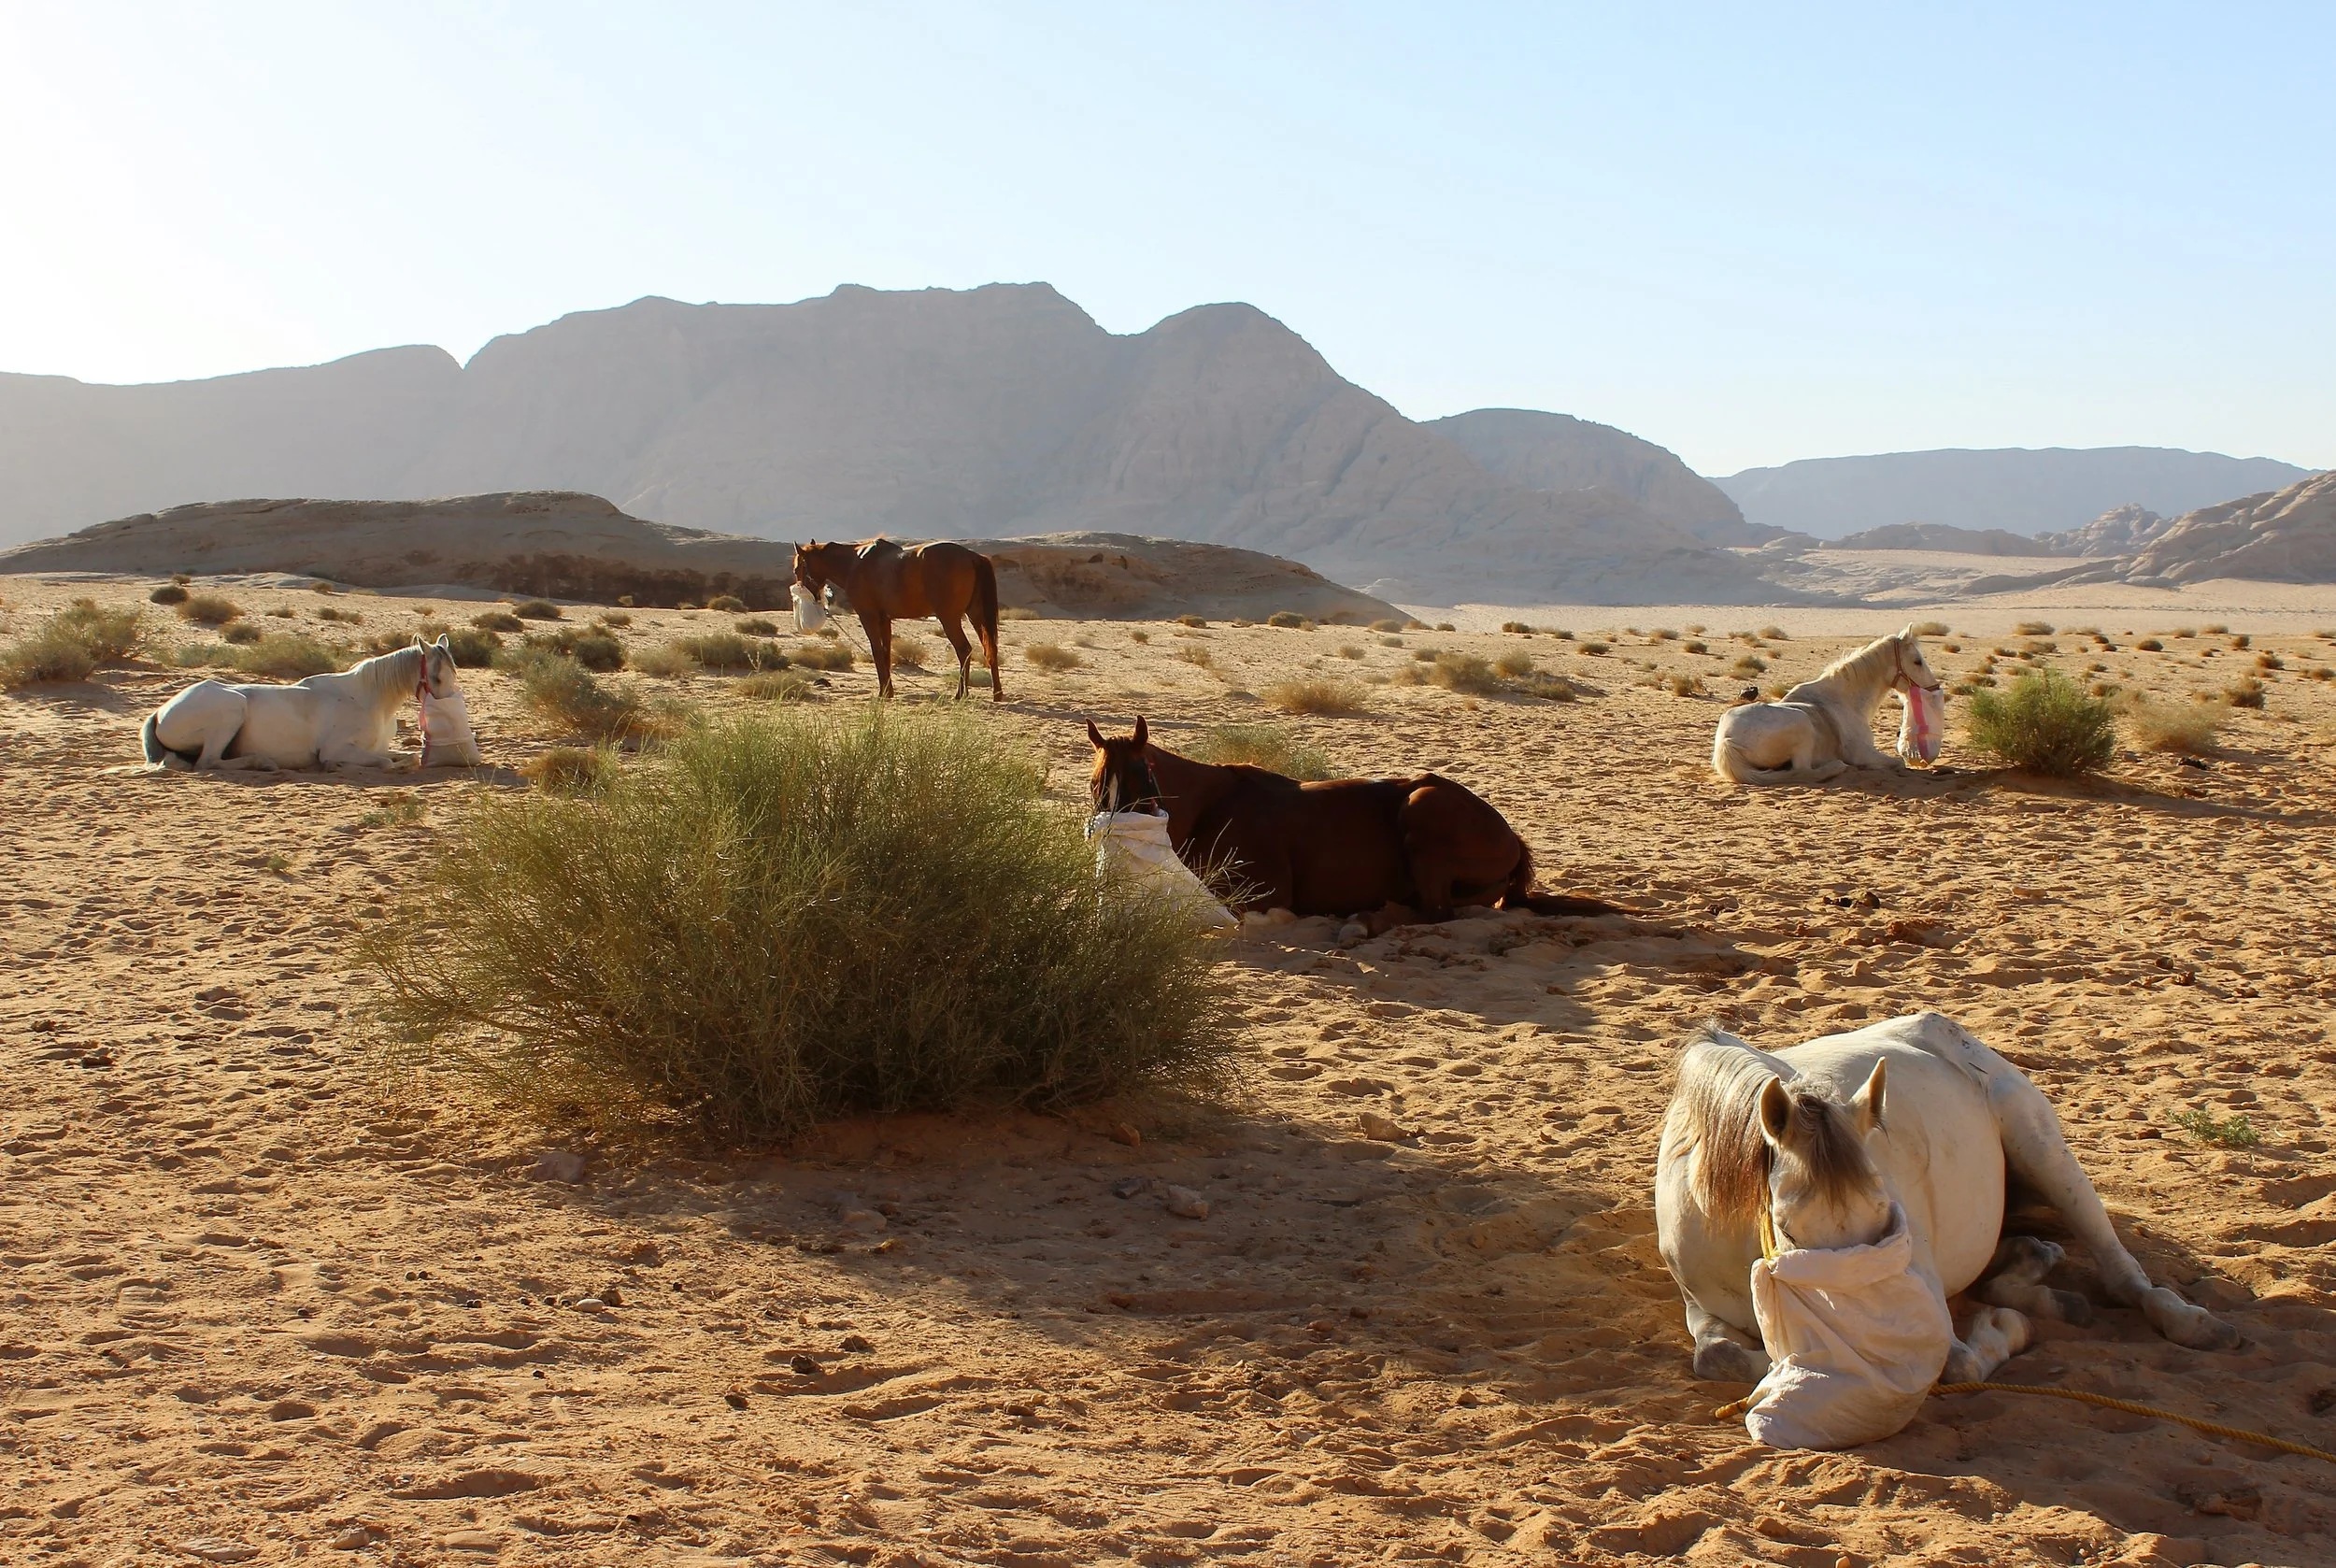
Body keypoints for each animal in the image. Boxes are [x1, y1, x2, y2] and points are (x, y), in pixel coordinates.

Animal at [140, 637, 459, 772]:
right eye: (436, 677)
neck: (368, 699)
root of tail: (159, 712)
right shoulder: (338, 748)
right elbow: (385, 763)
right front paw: (333, 765)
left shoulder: (379, 748)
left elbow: (408, 757)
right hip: (233, 707)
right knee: (208, 762)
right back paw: (262, 762)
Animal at [792, 538, 1003, 702]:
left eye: (797, 569)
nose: (813, 597)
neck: (855, 563)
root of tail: (972, 557)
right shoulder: (884, 619)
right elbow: (886, 653)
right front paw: (889, 691)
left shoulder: (868, 617)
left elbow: (877, 652)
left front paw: (883, 692)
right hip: (976, 616)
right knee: (990, 649)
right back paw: (996, 694)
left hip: (949, 618)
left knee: (964, 650)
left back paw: (960, 694)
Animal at [1084, 717, 1615, 921]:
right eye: (1094, 784)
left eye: (1143, 780)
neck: (1213, 804)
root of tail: (1512, 838)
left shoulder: (1266, 894)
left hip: (1424, 806)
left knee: (1435, 911)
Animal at [1656, 1011, 2239, 1395]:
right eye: (1788, 1231)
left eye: (1888, 1220)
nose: (1882, 1348)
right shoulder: (1699, 1306)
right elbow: (1718, 1356)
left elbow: (1954, 1365)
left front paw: (2005, 1329)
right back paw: (2042, 1275)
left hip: (2042, 1148)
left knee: (2120, 1273)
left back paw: (2191, 1323)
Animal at [1712, 627, 1942, 785]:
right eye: (1917, 661)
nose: (1934, 688)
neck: (1845, 700)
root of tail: (1726, 739)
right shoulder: (1863, 753)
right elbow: (1898, 763)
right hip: (1802, 723)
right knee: (1803, 771)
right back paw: (1835, 767)